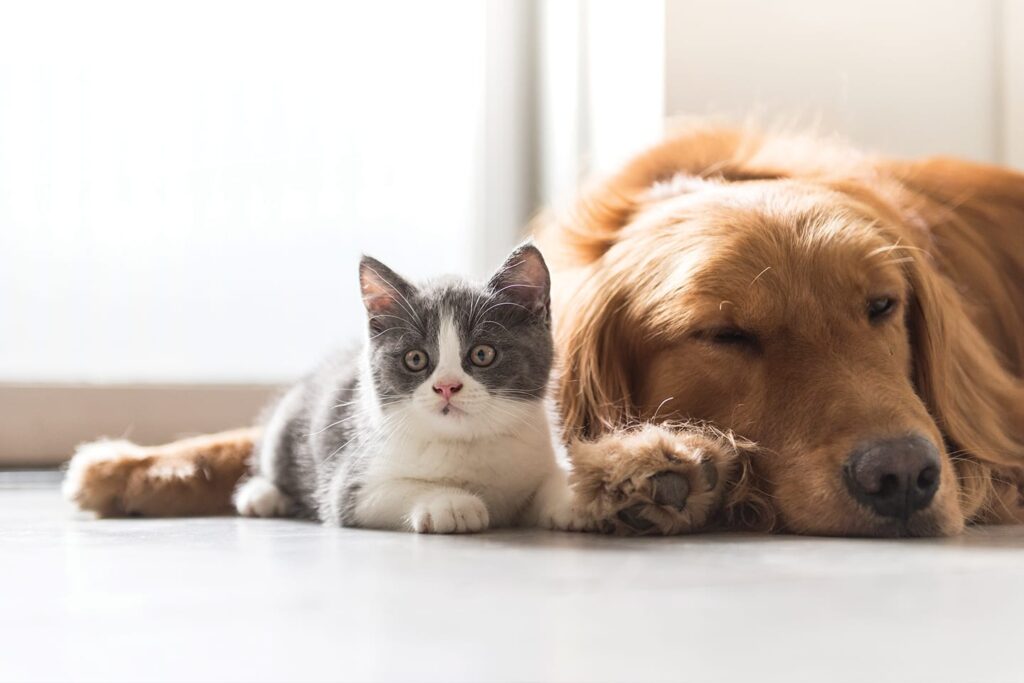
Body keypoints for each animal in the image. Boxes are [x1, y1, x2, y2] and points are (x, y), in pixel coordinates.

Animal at [231, 244, 585, 532]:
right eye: (415, 358)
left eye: (483, 354)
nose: (446, 386)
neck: (466, 442)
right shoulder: (351, 485)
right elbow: (396, 488)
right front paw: (451, 503)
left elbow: (550, 478)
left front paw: (575, 497)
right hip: (287, 423)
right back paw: (260, 496)